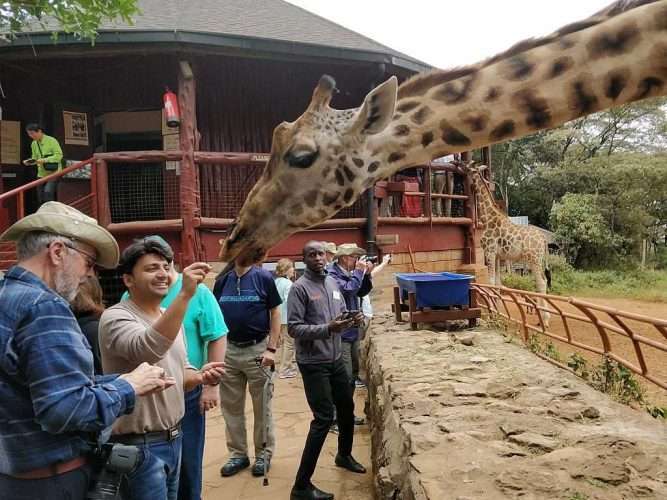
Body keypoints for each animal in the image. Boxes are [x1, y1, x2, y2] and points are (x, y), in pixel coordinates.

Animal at [464, 163, 552, 324]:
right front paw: (498, 312)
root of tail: (544, 239)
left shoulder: (489, 251)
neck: (488, 218)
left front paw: (492, 313)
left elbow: (491, 281)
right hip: (538, 260)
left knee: (541, 282)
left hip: (534, 259)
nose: (458, 167)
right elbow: (498, 283)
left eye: (469, 170)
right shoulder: (498, 255)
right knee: (543, 281)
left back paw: (545, 320)